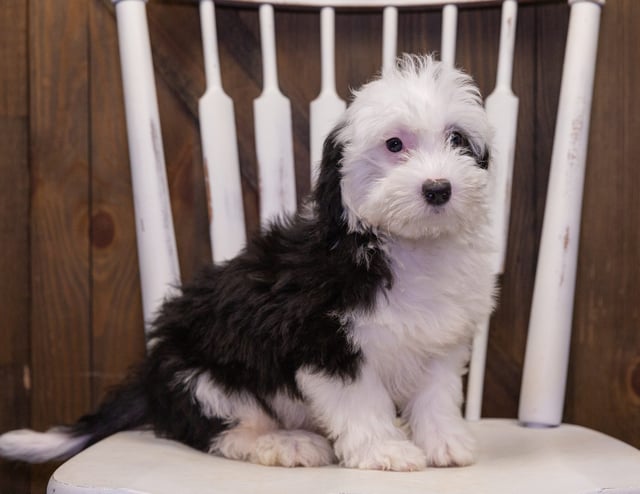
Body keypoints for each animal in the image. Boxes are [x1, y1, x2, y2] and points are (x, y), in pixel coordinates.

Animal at [0, 54, 496, 470]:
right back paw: (284, 442)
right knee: (224, 431)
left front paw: (444, 443)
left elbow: (436, 396)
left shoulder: (441, 343)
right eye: (394, 144)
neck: (406, 246)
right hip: (203, 377)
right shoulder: (325, 342)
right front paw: (385, 451)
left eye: (457, 139)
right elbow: (361, 402)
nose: (438, 188)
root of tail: (151, 383)